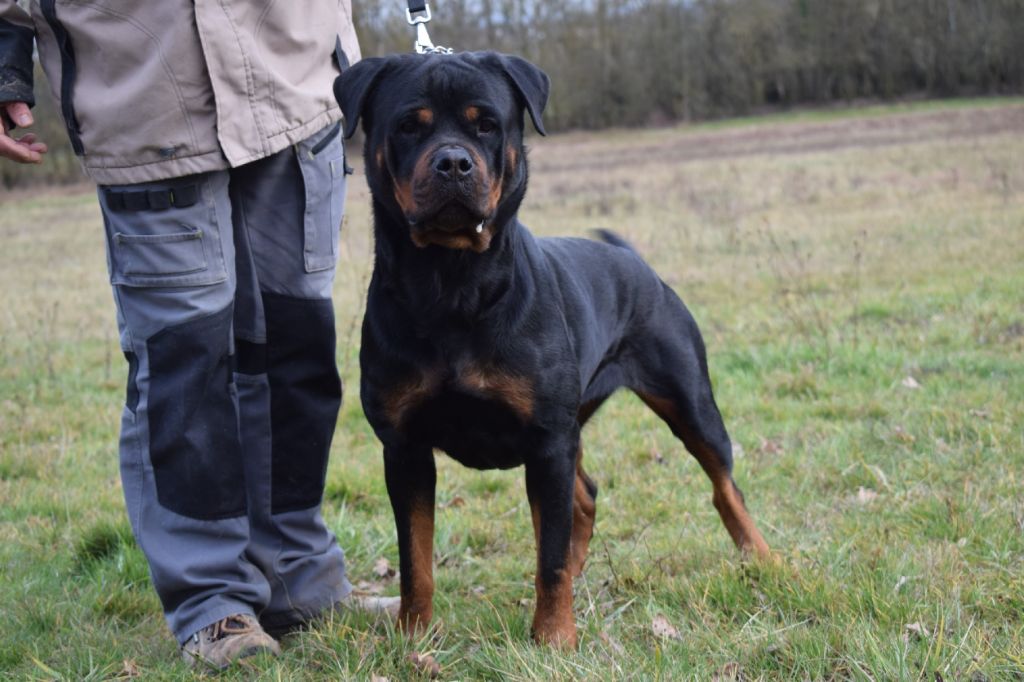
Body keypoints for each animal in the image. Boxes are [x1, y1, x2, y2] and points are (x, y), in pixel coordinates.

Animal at [333, 50, 770, 647]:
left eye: (486, 124)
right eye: (408, 126)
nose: (453, 163)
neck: (452, 284)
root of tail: (634, 259)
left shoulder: (546, 439)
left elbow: (550, 556)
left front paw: (556, 637)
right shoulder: (404, 448)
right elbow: (415, 557)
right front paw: (414, 636)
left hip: (687, 398)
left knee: (723, 484)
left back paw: (764, 558)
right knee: (584, 496)